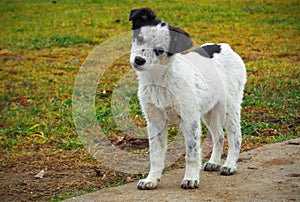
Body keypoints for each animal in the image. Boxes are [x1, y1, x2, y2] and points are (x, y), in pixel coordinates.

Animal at [128, 7, 246, 190]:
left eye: (159, 51)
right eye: (140, 38)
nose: (139, 60)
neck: (160, 79)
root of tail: (225, 47)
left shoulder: (190, 120)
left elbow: (191, 153)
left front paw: (190, 178)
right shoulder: (155, 121)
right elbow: (155, 155)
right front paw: (151, 180)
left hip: (229, 107)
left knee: (235, 135)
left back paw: (229, 165)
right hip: (209, 111)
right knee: (219, 135)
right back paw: (214, 162)